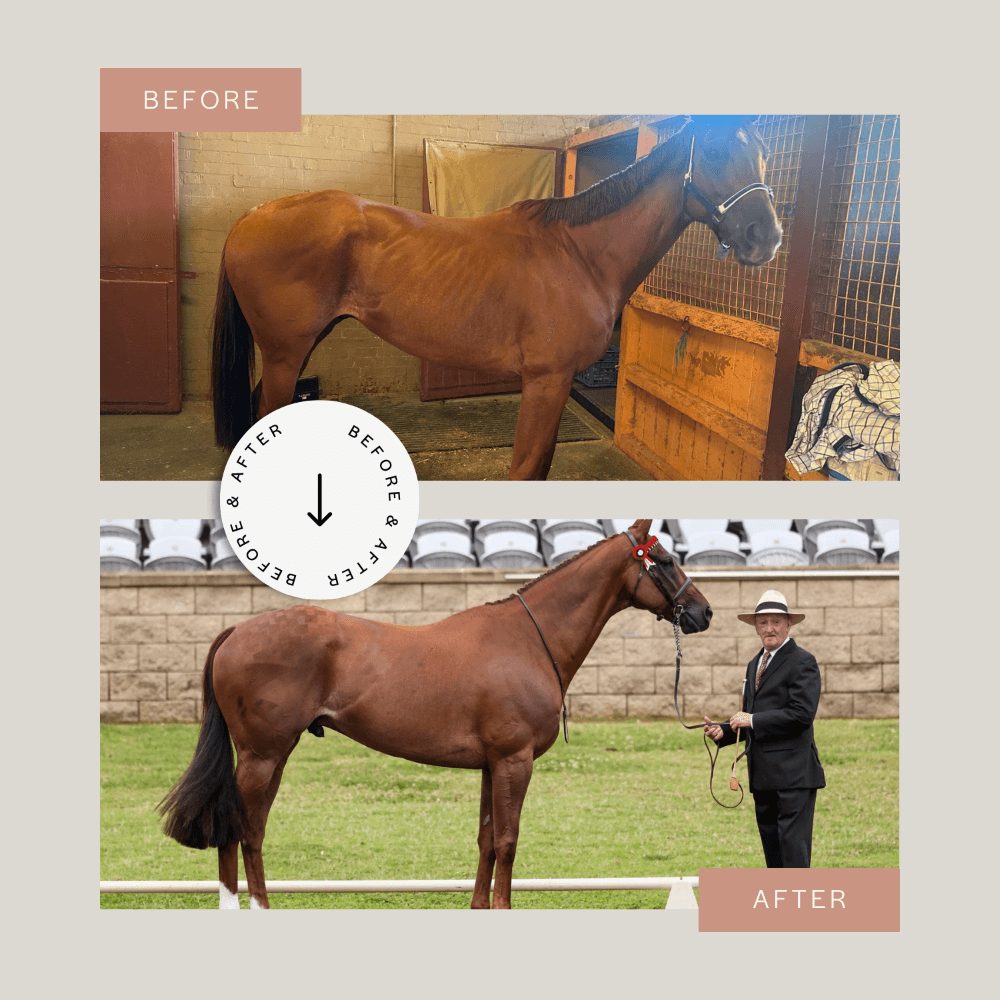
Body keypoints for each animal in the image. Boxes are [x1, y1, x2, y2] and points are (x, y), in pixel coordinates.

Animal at [159, 519, 712, 909]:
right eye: (664, 560)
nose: (702, 612)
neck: (528, 639)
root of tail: (237, 630)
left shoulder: (493, 765)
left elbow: (486, 840)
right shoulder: (515, 761)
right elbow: (508, 841)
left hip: (273, 755)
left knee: (250, 831)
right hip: (262, 755)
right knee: (240, 830)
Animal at [211, 116, 782, 480]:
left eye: (764, 154)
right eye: (714, 152)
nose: (767, 237)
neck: (580, 253)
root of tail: (252, 216)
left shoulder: (556, 384)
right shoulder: (546, 381)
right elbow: (526, 470)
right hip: (285, 352)